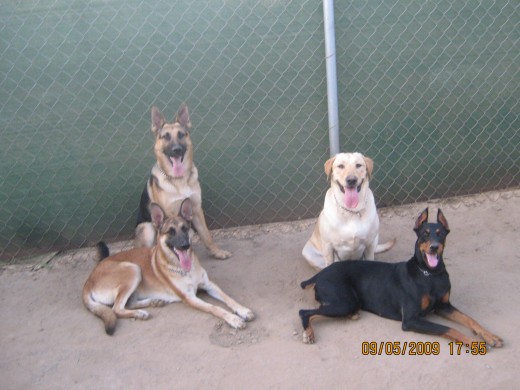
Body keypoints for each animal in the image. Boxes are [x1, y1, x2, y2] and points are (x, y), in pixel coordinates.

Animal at [83, 200, 254, 334]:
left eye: (185, 229)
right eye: (170, 232)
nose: (185, 246)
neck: (184, 269)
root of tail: (88, 281)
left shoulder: (209, 285)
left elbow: (228, 298)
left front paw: (243, 310)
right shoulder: (190, 298)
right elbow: (215, 308)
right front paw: (233, 319)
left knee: (127, 303)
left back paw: (154, 302)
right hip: (133, 269)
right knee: (116, 308)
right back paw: (139, 313)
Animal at [135, 105, 231, 260]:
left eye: (181, 135)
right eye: (166, 136)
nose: (177, 150)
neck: (179, 180)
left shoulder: (197, 209)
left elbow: (206, 235)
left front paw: (216, 251)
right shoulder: (167, 215)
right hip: (147, 228)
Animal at [300, 209, 504, 346]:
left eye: (441, 234)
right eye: (424, 234)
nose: (434, 247)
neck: (430, 274)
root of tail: (320, 274)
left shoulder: (444, 306)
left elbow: (470, 319)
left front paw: (491, 336)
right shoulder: (411, 319)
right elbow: (449, 328)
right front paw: (474, 342)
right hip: (344, 301)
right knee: (304, 312)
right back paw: (308, 333)